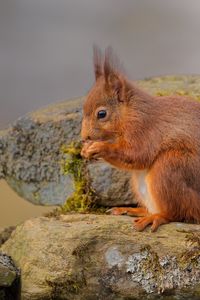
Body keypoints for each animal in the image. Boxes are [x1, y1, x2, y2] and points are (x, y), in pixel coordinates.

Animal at [80, 45, 200, 231]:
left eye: (101, 114)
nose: (84, 136)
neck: (131, 112)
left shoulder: (145, 130)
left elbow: (138, 155)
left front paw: (100, 147)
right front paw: (86, 150)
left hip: (171, 166)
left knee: (177, 213)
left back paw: (156, 217)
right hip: (139, 181)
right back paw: (132, 210)